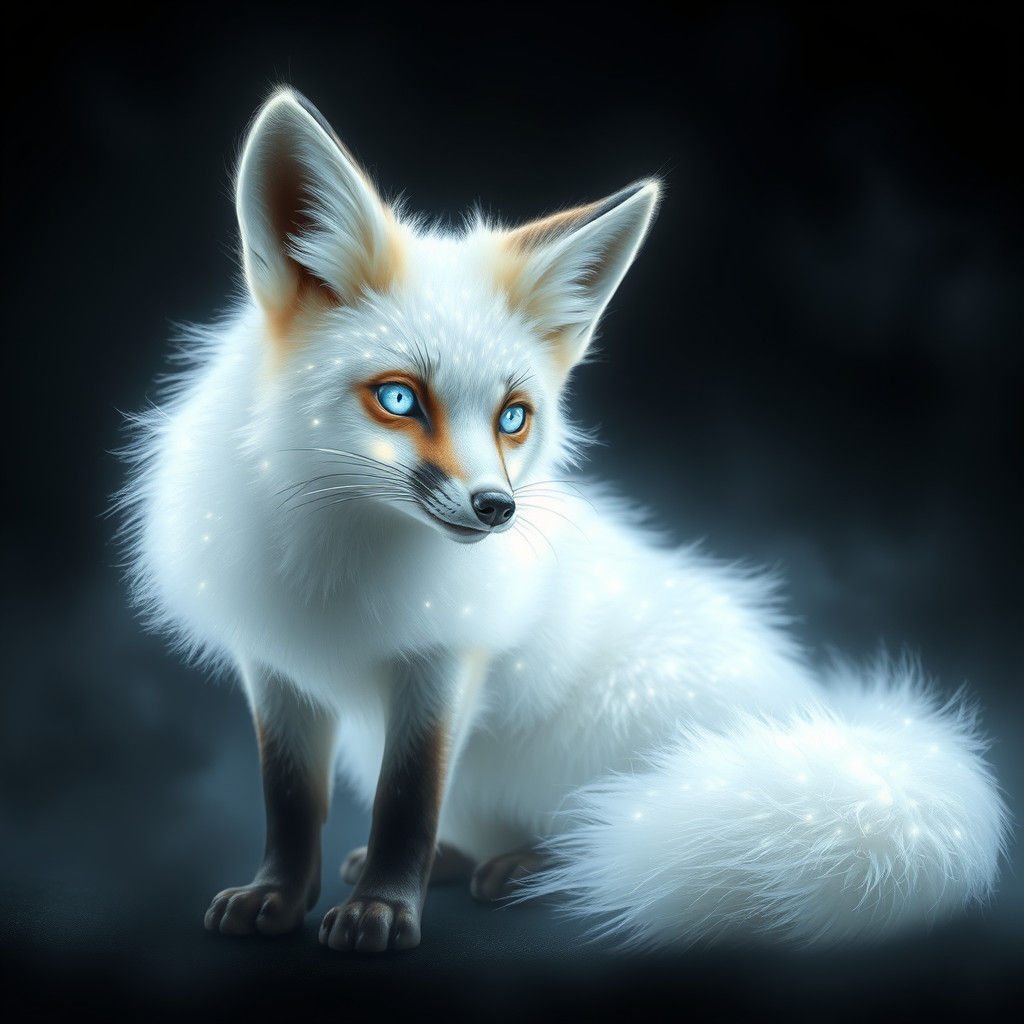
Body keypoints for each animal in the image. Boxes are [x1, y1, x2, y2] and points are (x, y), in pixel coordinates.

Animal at [119, 88, 1007, 954]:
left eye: (514, 417)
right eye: (399, 398)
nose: (496, 509)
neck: (336, 558)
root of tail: (816, 716)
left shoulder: (444, 660)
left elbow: (409, 799)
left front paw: (382, 911)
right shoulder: (275, 668)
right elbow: (291, 803)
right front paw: (278, 895)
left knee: (600, 822)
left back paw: (534, 867)